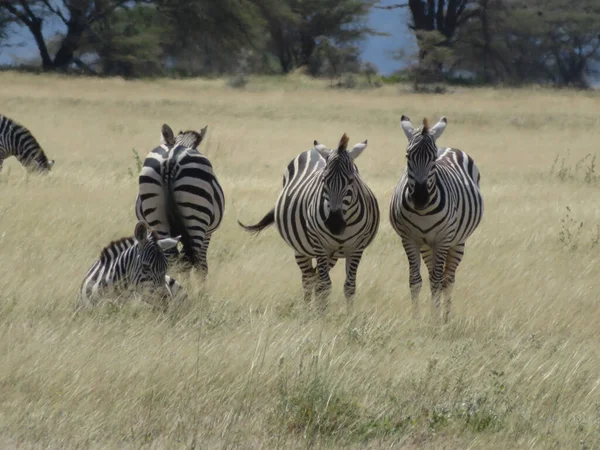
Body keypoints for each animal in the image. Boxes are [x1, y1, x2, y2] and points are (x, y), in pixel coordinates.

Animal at [136, 124, 225, 278]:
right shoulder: (208, 233)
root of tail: (171, 159)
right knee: (187, 260)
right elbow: (202, 265)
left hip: (157, 216)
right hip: (197, 217)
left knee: (171, 257)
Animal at [239, 132, 380, 312]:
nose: (334, 224)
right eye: (324, 180)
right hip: (302, 249)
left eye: (351, 180)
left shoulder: (357, 248)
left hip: (332, 254)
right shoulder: (320, 245)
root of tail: (312, 151)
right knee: (308, 279)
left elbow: (349, 286)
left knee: (315, 278)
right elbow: (325, 286)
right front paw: (321, 316)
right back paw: (307, 310)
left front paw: (349, 316)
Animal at [390, 114, 482, 322]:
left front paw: (435, 320)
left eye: (432, 159)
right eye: (408, 157)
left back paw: (445, 318)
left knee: (447, 279)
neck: (423, 213)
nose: (420, 198)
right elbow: (415, 280)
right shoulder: (409, 239)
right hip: (427, 245)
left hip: (457, 241)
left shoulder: (443, 240)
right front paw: (416, 319)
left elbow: (436, 281)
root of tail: (448, 147)